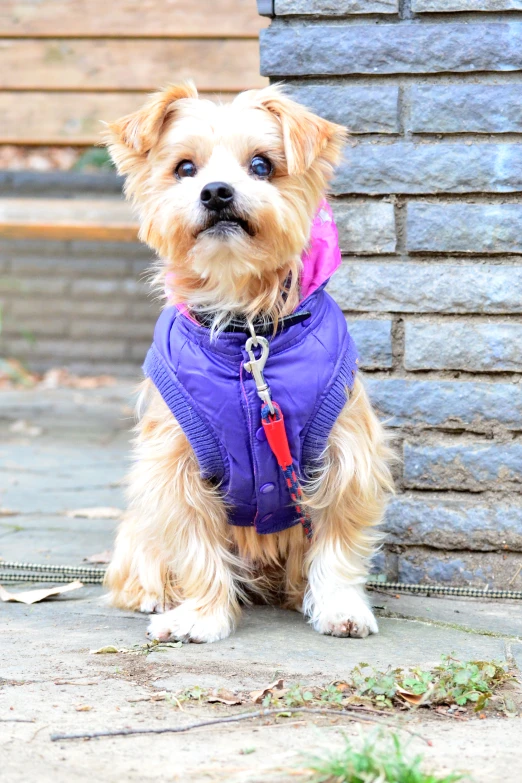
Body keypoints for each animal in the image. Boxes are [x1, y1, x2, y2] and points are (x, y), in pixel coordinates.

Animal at [103, 81, 392, 644]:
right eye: (185, 168)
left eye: (261, 165)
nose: (216, 191)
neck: (246, 329)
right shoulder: (175, 462)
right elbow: (194, 543)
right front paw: (200, 615)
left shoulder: (345, 453)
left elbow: (338, 540)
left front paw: (340, 606)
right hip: (140, 524)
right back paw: (151, 593)